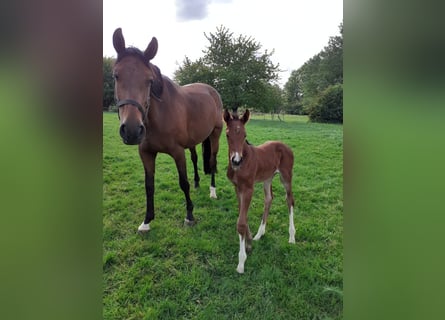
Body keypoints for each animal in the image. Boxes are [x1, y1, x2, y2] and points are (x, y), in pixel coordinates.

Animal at [111, 28, 222, 231]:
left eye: (149, 80)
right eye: (116, 75)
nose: (131, 130)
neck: (158, 117)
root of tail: (211, 90)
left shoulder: (177, 152)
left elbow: (183, 183)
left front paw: (189, 216)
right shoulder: (146, 153)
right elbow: (149, 186)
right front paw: (146, 221)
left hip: (215, 134)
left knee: (211, 160)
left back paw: (212, 191)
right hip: (193, 141)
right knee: (195, 158)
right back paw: (197, 183)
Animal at [222, 109, 294, 272]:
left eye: (244, 135)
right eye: (227, 135)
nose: (236, 160)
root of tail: (285, 145)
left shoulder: (249, 188)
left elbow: (241, 223)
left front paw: (241, 262)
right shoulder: (237, 187)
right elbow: (243, 216)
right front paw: (249, 242)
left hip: (286, 177)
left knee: (290, 200)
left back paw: (292, 236)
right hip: (268, 177)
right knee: (269, 199)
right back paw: (259, 234)